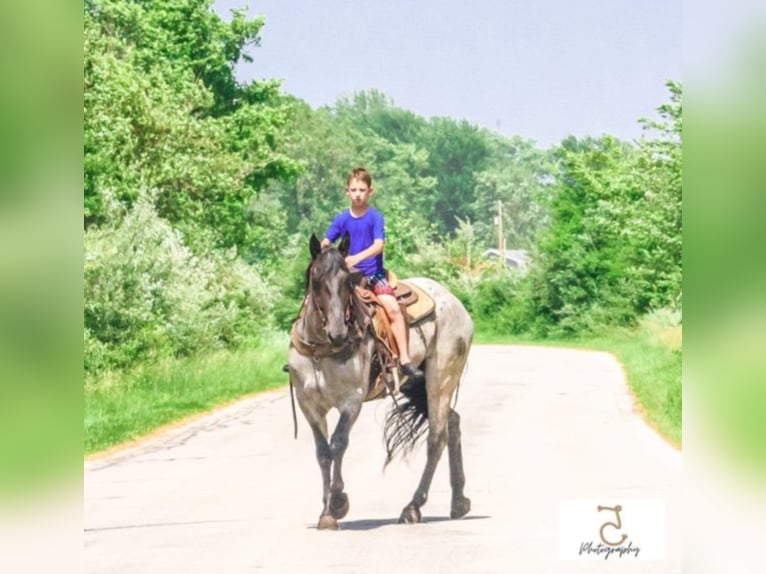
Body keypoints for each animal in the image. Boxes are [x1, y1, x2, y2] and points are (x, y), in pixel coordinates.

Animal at [286, 234, 474, 532]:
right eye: (316, 279)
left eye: (347, 281)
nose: (338, 333)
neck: (320, 351)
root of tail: (455, 302)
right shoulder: (309, 405)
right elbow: (323, 452)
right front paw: (326, 513)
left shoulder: (351, 400)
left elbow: (339, 443)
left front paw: (338, 502)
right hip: (414, 384)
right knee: (452, 423)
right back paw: (459, 501)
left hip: (441, 379)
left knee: (436, 437)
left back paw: (412, 507)